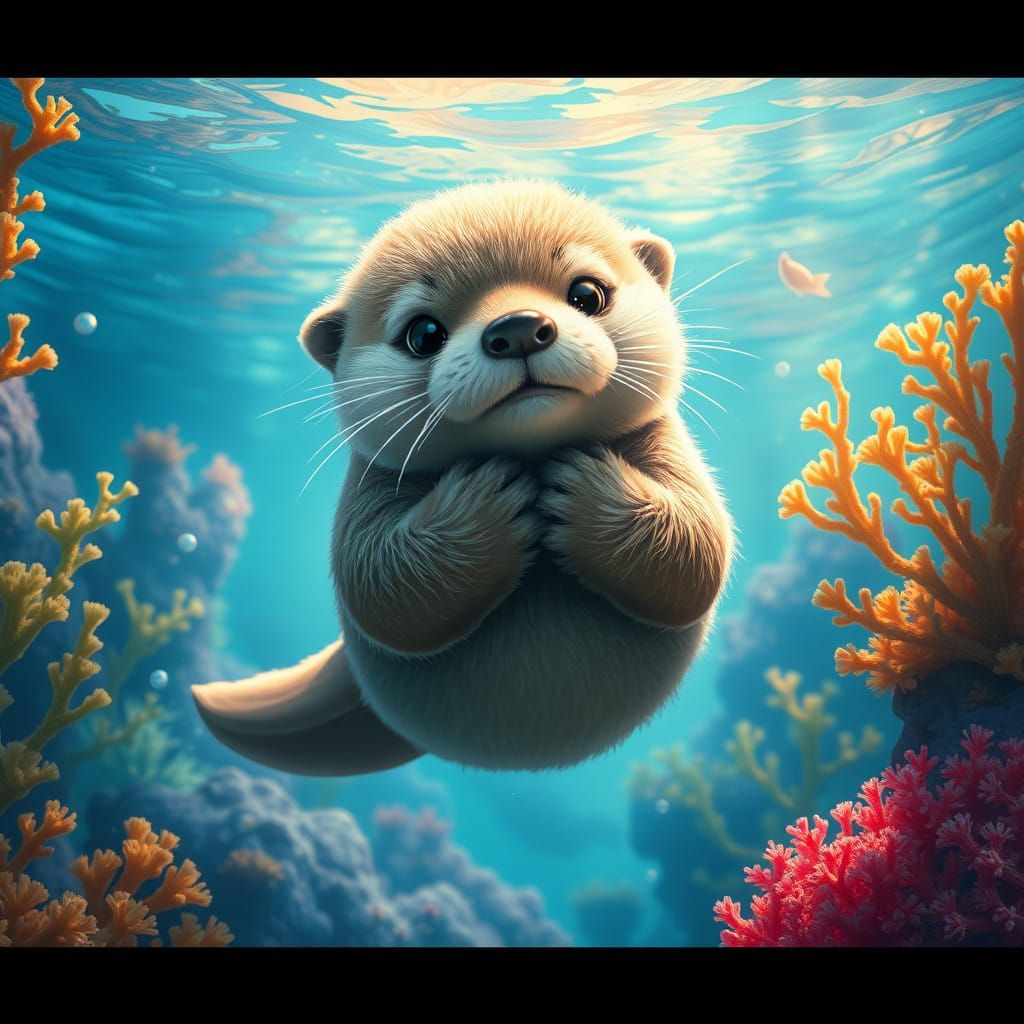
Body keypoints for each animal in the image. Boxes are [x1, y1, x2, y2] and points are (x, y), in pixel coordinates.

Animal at [192, 180, 733, 776]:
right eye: (423, 334)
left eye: (588, 295)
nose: (517, 328)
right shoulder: (369, 479)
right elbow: (377, 587)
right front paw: (486, 508)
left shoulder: (666, 440)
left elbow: (697, 548)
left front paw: (583, 490)